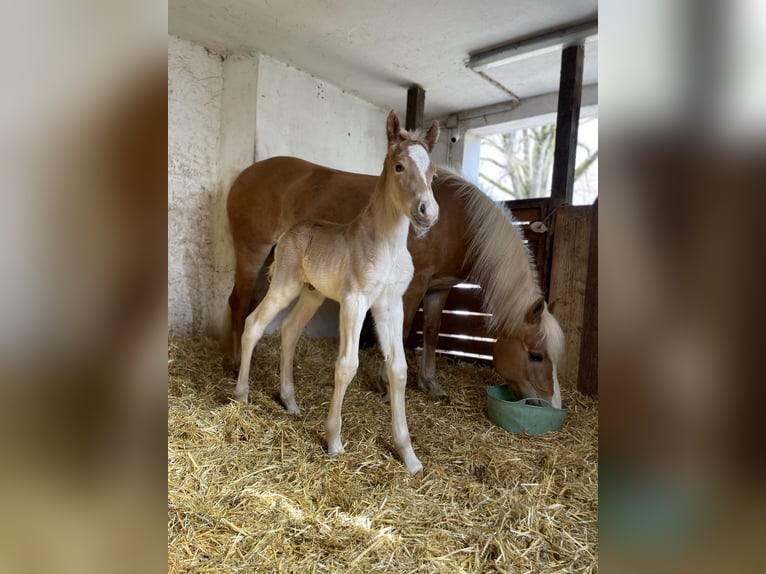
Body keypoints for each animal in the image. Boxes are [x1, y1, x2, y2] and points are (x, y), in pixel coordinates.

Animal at [225, 153, 568, 410]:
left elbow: (432, 332)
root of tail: (244, 175)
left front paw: (431, 384)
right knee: (239, 302)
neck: (461, 221)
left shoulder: (439, 287)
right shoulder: (413, 286)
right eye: (536, 355)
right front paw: (386, 385)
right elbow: (401, 333)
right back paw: (235, 364)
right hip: (253, 254)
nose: (553, 404)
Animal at [234, 112, 438, 476]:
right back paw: (242, 395)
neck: (387, 246)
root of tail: (288, 233)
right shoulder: (355, 301)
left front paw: (409, 457)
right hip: (285, 285)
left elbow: (398, 369)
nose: (427, 211)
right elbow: (347, 364)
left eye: (434, 174)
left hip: (312, 294)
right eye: (399, 166)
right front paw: (334, 442)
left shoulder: (391, 305)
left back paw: (290, 401)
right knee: (254, 324)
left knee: (290, 330)